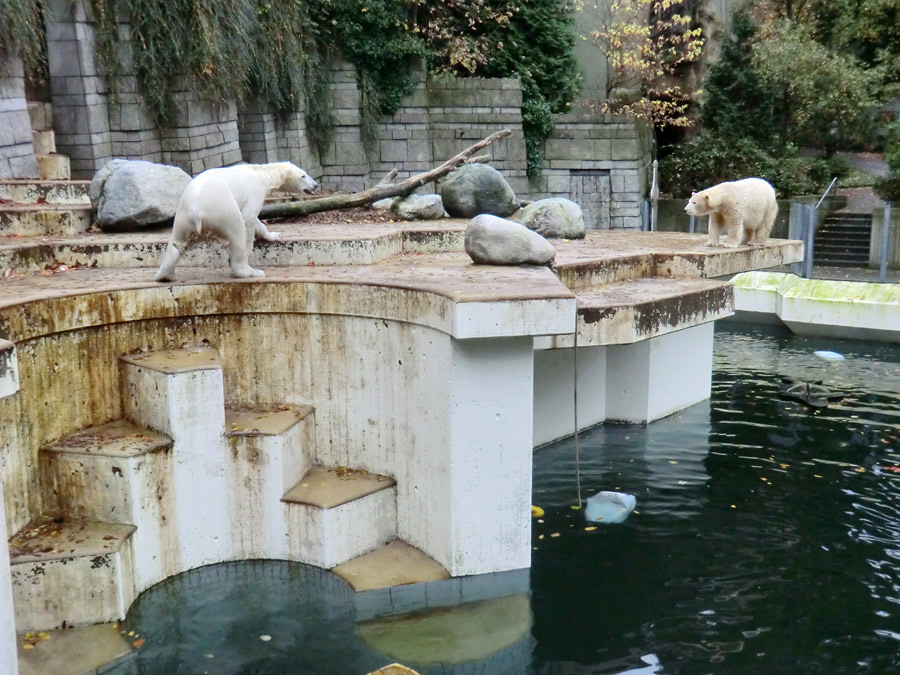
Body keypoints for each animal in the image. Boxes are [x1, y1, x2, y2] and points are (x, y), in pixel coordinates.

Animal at [156, 162, 318, 282]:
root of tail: (197, 211)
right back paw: (251, 271)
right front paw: (251, 247)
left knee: (177, 243)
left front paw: (275, 235)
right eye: (303, 175)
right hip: (223, 210)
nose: (315, 185)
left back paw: (165, 275)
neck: (259, 173)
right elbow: (249, 217)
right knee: (237, 231)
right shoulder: (254, 192)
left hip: (183, 217)